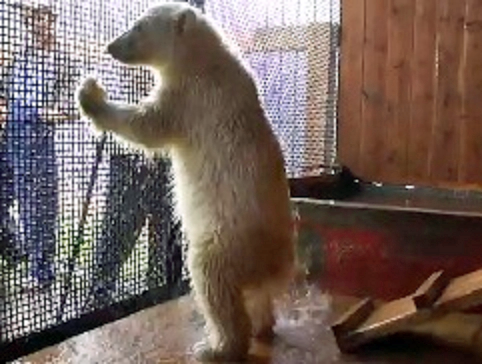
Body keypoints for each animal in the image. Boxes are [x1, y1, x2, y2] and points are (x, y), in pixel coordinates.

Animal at [76, 2, 298, 362]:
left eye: (138, 26)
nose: (110, 46)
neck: (204, 57)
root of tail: (276, 265)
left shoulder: (192, 98)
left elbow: (148, 126)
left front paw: (91, 94)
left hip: (228, 239)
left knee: (213, 281)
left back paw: (216, 347)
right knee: (256, 297)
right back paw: (263, 326)